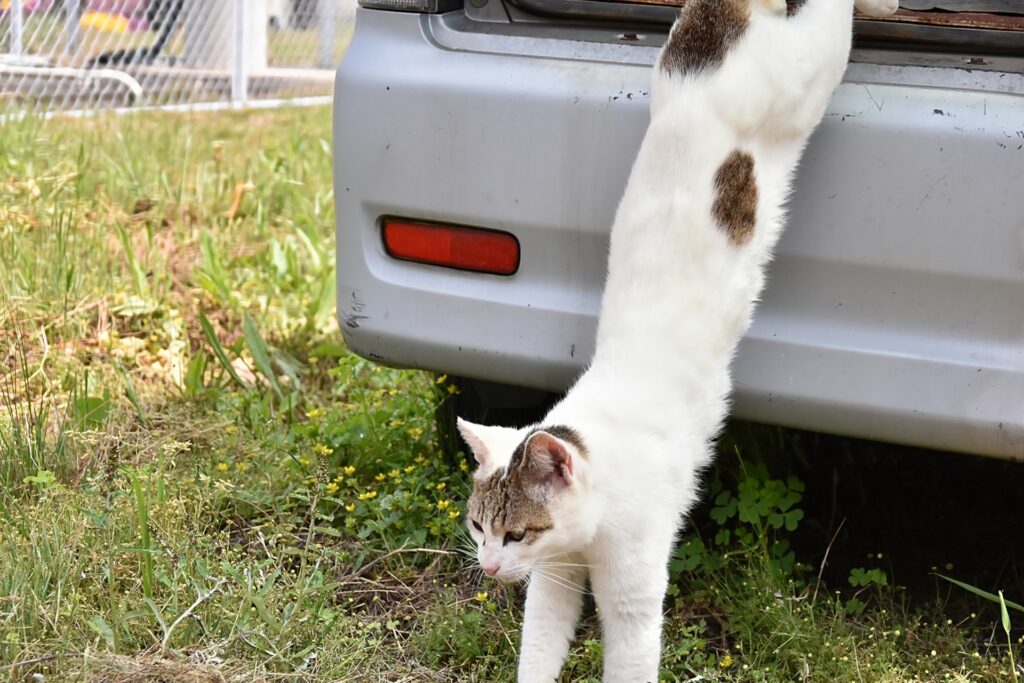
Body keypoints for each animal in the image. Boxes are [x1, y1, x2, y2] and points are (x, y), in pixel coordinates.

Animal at [460, 1, 901, 683]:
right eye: (480, 528)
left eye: (517, 535)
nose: (487, 566)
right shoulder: (555, 579)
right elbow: (540, 645)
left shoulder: (632, 590)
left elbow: (629, 659)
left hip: (816, 61)